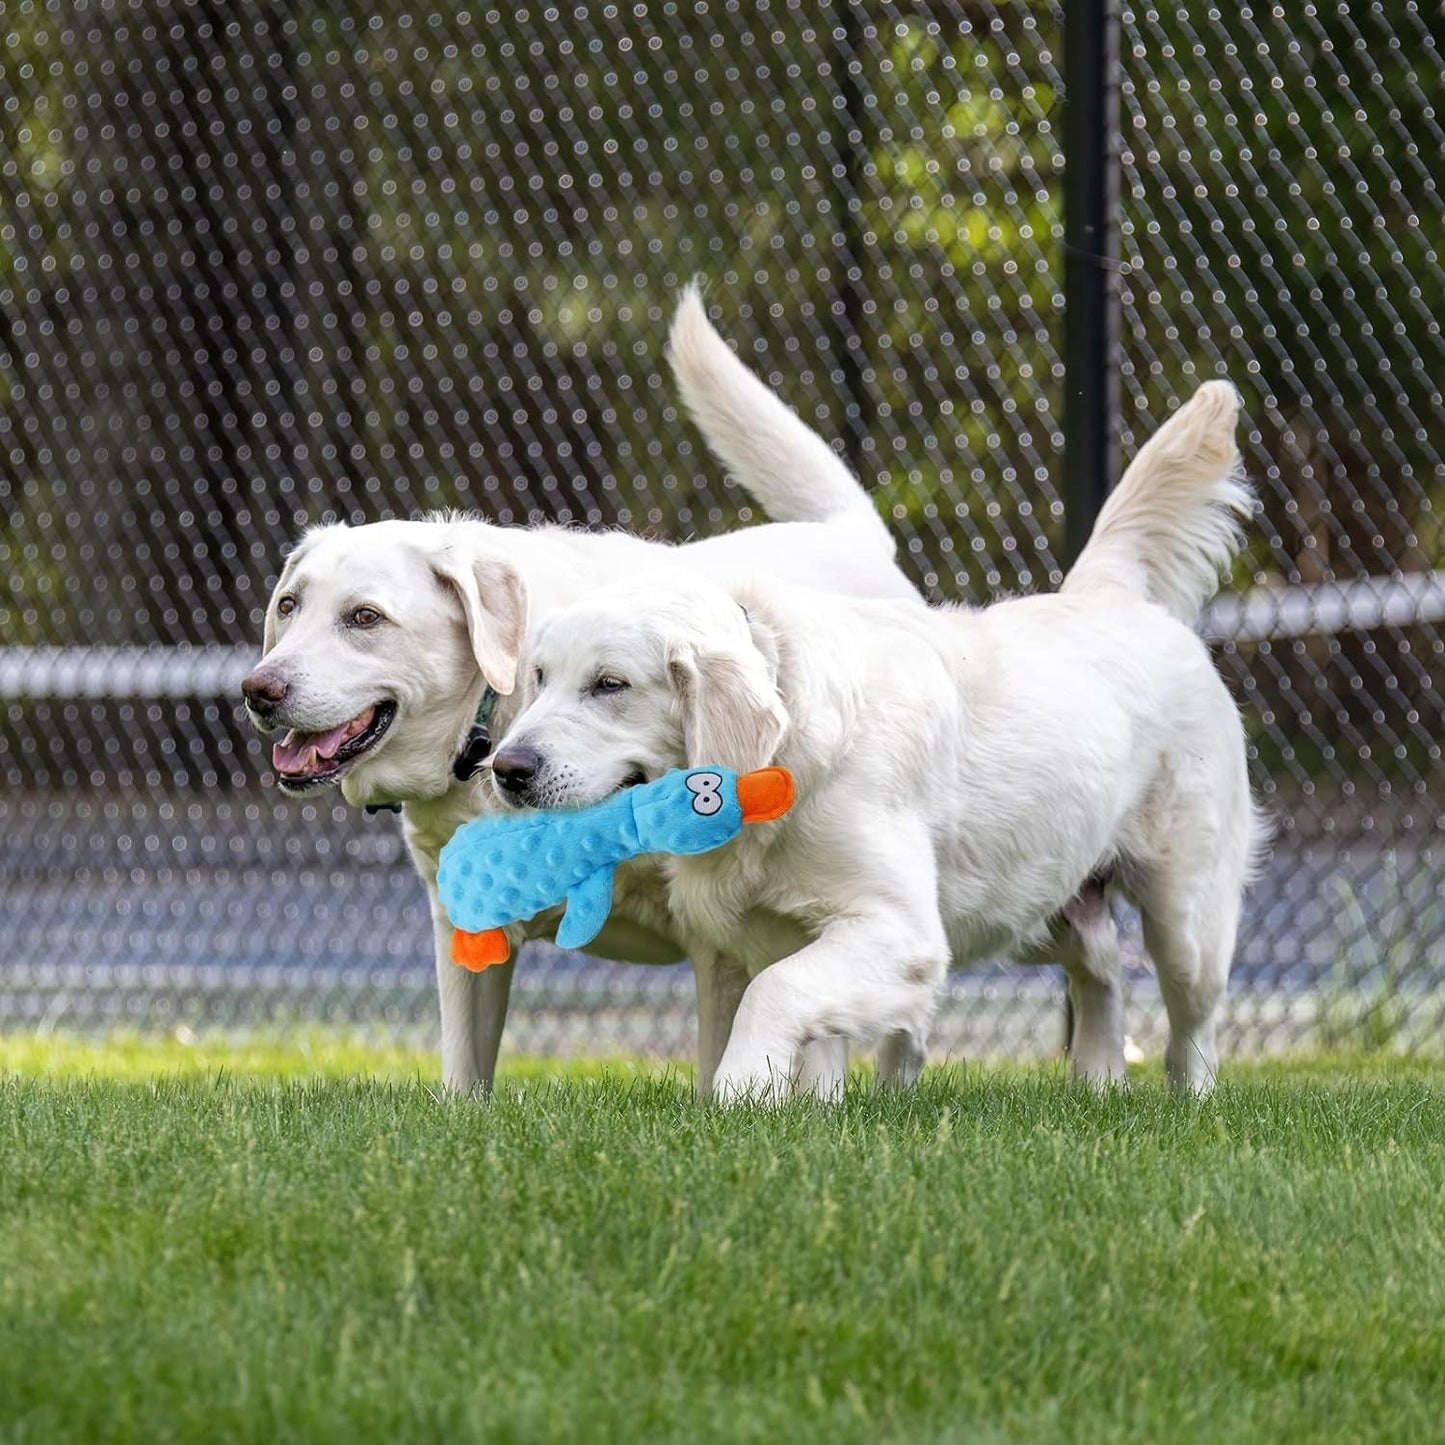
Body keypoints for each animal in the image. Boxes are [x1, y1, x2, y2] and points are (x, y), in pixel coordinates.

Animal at [239, 287, 913, 1086]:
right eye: (288, 606)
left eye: (365, 617)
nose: (257, 689)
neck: (491, 725)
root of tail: (851, 535)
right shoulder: (463, 927)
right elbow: (463, 1074)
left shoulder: (719, 938)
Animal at [488, 381, 1265, 1092]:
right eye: (539, 677)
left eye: (609, 684)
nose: (506, 767)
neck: (778, 769)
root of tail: (1108, 594)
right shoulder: (781, 932)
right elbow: (812, 1041)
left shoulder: (901, 933)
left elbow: (775, 995)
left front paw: (737, 1092)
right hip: (1034, 895)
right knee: (1099, 966)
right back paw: (1095, 1080)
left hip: (1184, 915)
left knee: (1190, 1025)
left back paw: (1185, 1102)